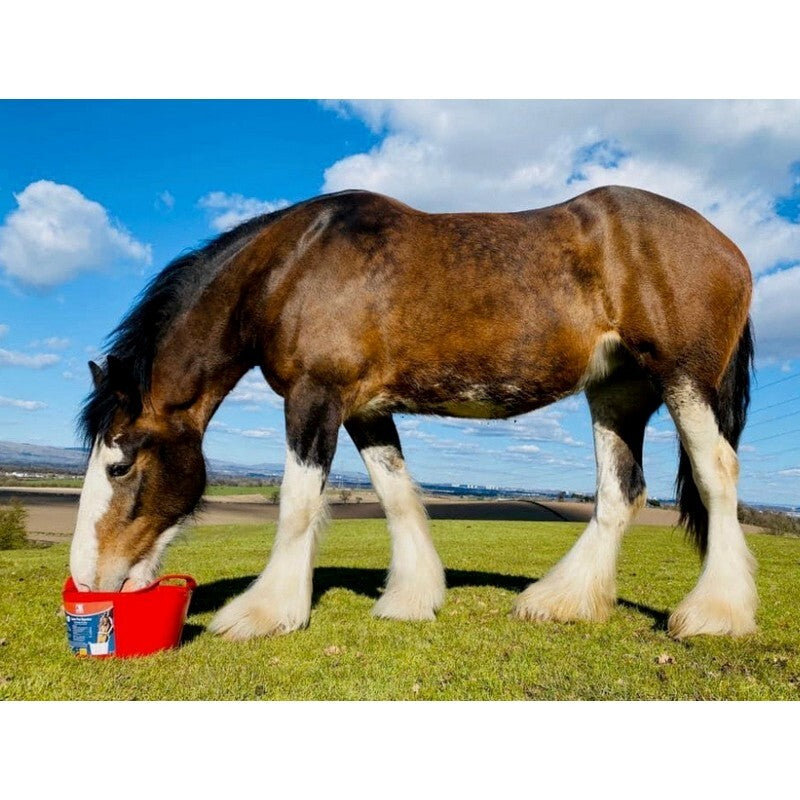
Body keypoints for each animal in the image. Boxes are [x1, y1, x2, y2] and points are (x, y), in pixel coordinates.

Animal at [71, 185, 756, 641]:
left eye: (119, 466)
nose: (88, 580)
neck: (291, 268)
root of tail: (731, 250)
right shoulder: (364, 408)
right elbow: (397, 495)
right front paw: (411, 598)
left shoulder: (314, 397)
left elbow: (298, 503)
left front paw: (264, 612)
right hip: (617, 391)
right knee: (621, 492)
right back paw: (563, 601)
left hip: (683, 378)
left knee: (717, 473)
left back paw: (714, 613)